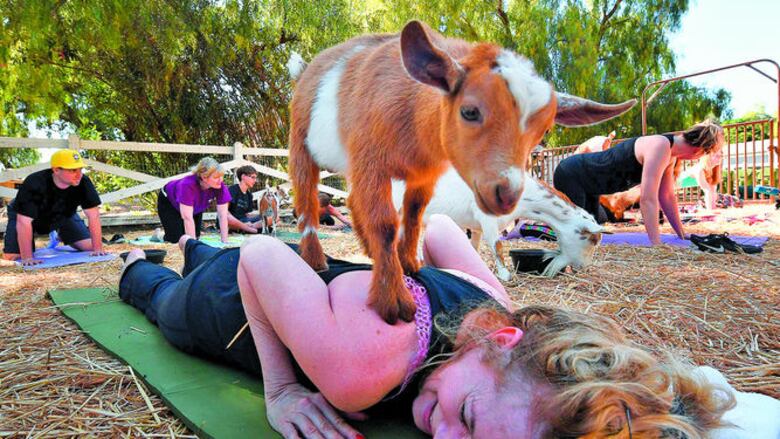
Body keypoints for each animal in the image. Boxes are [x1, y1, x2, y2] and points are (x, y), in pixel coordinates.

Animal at [392, 168, 605, 281]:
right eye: (591, 240)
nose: (583, 267)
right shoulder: (488, 219)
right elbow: (498, 246)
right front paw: (504, 275)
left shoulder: (476, 227)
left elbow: (474, 247)